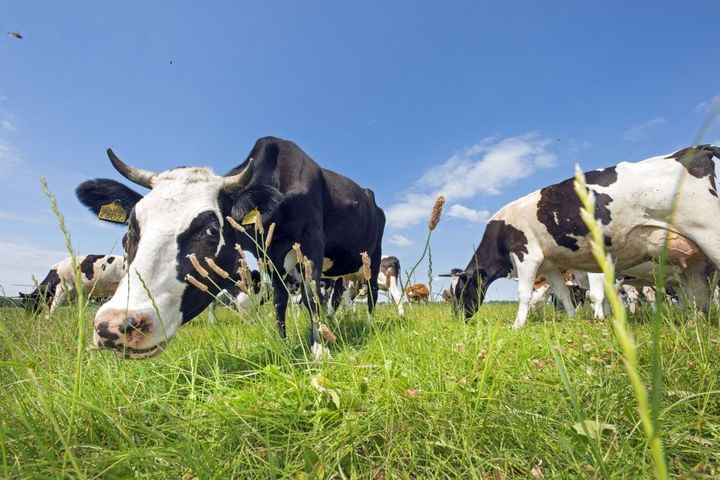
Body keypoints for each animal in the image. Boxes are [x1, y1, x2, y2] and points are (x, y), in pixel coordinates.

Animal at [76, 137, 386, 358]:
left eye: (211, 231)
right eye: (130, 230)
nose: (114, 325)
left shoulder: (311, 243)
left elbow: (310, 296)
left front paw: (320, 348)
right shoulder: (269, 255)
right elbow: (279, 299)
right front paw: (283, 340)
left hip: (373, 257)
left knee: (370, 292)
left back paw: (370, 324)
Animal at [444, 144, 720, 328]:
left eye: (460, 292)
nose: (458, 320)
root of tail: (696, 149)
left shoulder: (527, 255)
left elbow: (525, 294)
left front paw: (517, 326)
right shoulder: (551, 265)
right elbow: (564, 295)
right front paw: (574, 320)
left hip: (708, 231)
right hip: (693, 263)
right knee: (700, 298)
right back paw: (695, 323)